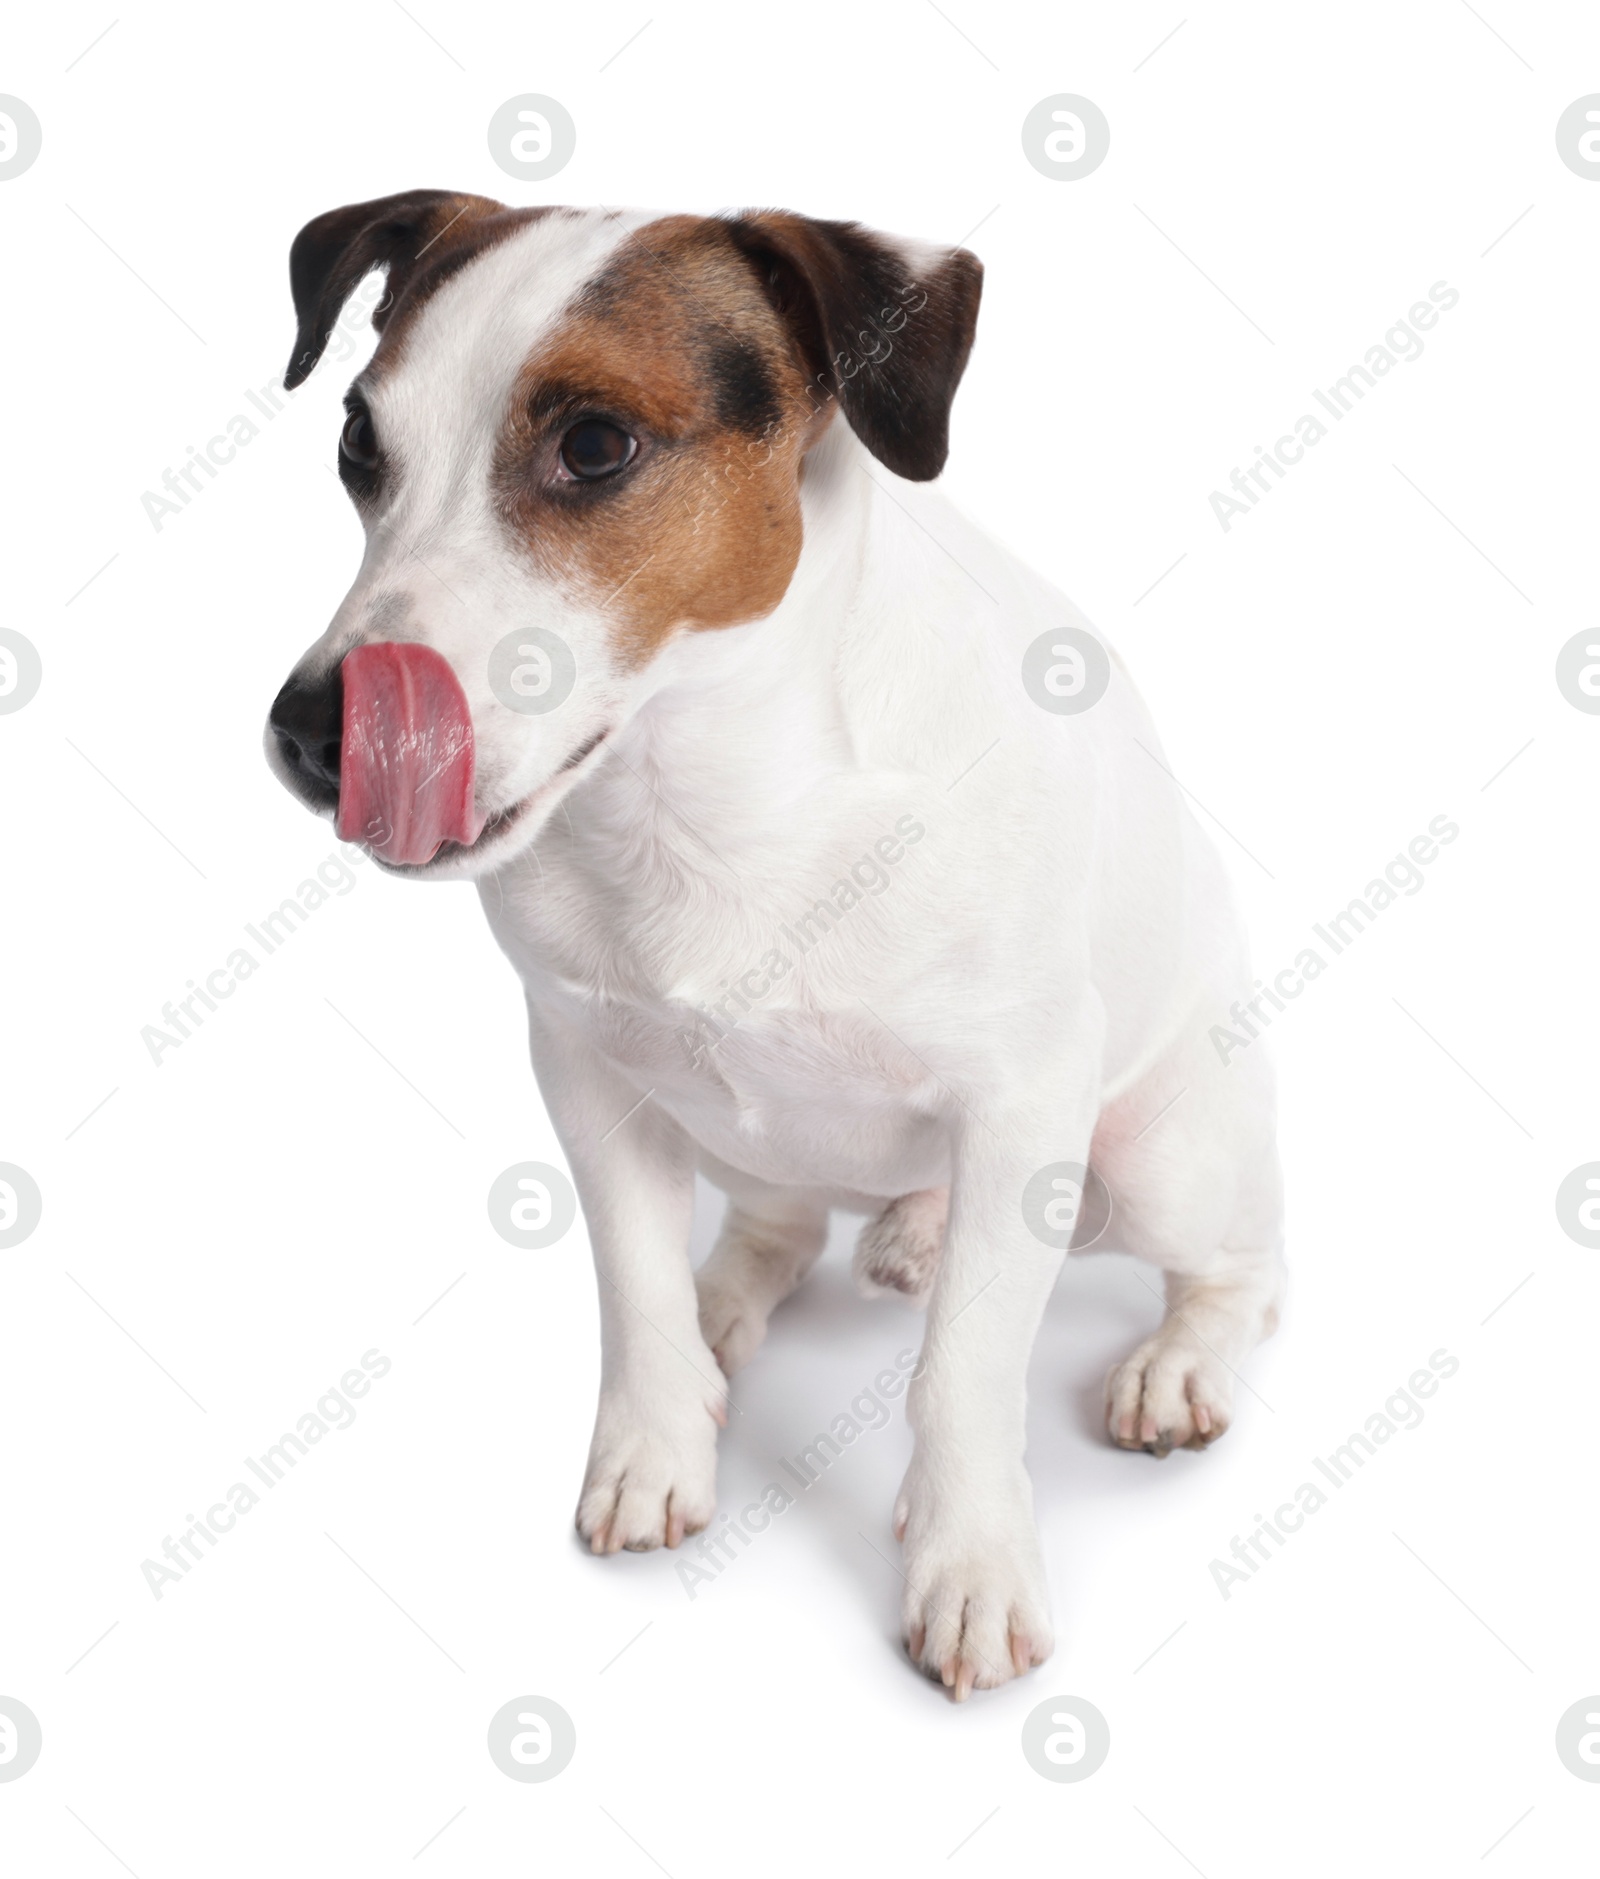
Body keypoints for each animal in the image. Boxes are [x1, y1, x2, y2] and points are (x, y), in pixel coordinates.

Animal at [268, 194, 1284, 1706]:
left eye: (594, 445)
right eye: (357, 444)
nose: (313, 737)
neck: (706, 793)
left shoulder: (1022, 1099)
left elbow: (965, 1369)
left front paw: (970, 1561)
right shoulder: (583, 1067)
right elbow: (631, 1292)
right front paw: (657, 1442)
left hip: (1163, 1159)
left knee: (1244, 1270)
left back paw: (1172, 1360)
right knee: (782, 1222)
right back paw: (753, 1293)